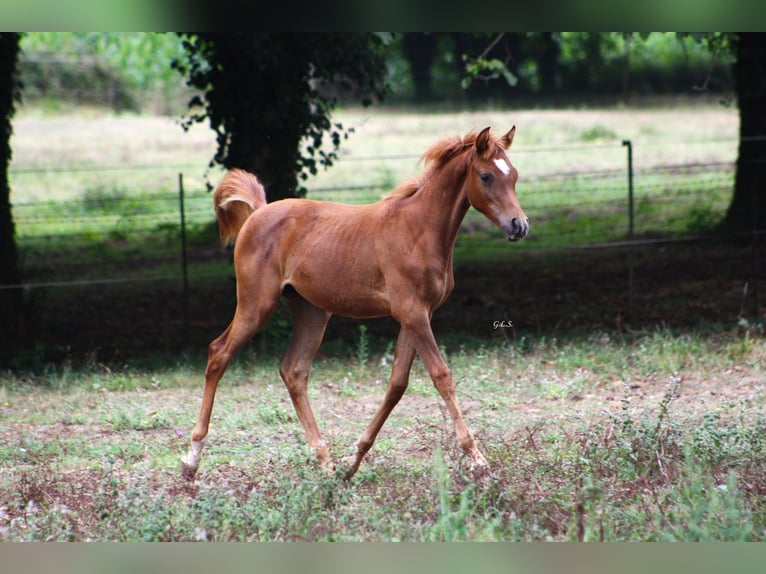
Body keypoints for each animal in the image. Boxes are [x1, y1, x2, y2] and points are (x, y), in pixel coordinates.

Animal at [182, 126, 528, 482]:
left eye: (514, 175)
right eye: (486, 176)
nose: (519, 225)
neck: (419, 229)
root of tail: (258, 211)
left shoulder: (418, 314)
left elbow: (397, 384)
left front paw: (353, 459)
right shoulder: (412, 313)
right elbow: (441, 376)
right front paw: (478, 459)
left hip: (311, 311)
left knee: (293, 371)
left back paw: (325, 460)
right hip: (256, 304)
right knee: (219, 353)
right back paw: (191, 460)